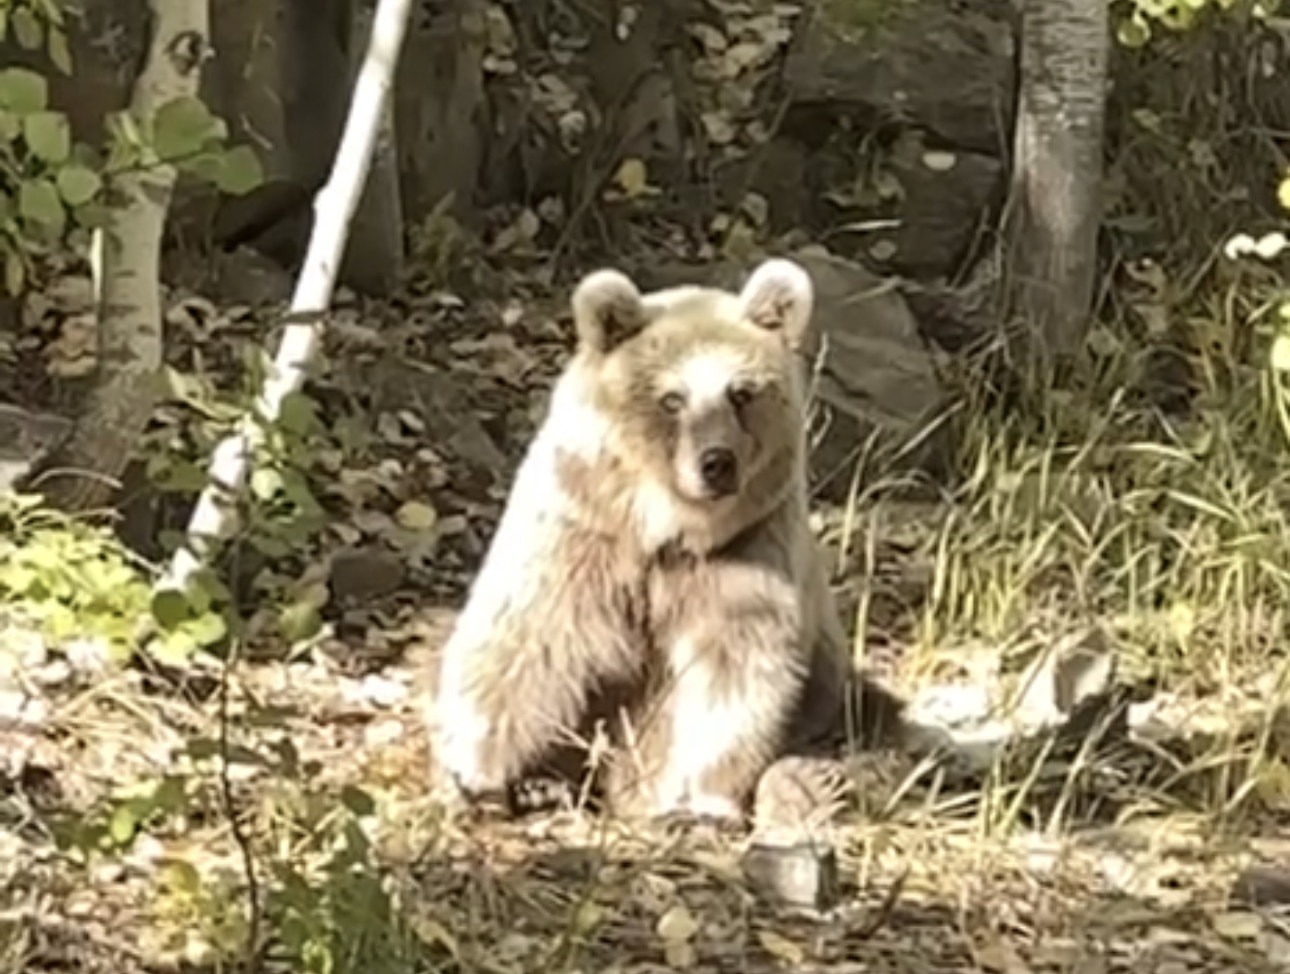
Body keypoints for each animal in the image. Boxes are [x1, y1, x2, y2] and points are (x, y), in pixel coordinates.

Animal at [428, 255, 903, 825]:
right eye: (673, 399)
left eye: (741, 392)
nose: (717, 462)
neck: (667, 529)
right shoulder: (581, 535)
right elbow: (524, 641)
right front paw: (475, 777)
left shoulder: (746, 555)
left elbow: (730, 678)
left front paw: (693, 801)